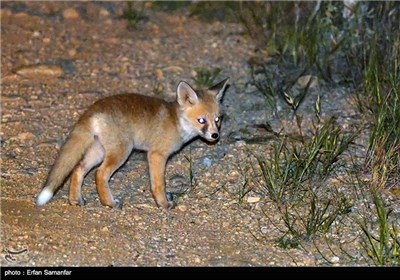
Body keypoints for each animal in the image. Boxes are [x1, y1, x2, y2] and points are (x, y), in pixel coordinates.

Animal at [36, 77, 230, 209]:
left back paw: (75, 200)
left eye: (218, 119)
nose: (215, 136)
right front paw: (163, 204)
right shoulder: (156, 155)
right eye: (201, 120)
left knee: (78, 169)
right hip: (121, 152)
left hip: (98, 152)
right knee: (100, 173)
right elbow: (158, 184)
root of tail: (93, 109)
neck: (176, 121)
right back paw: (109, 203)